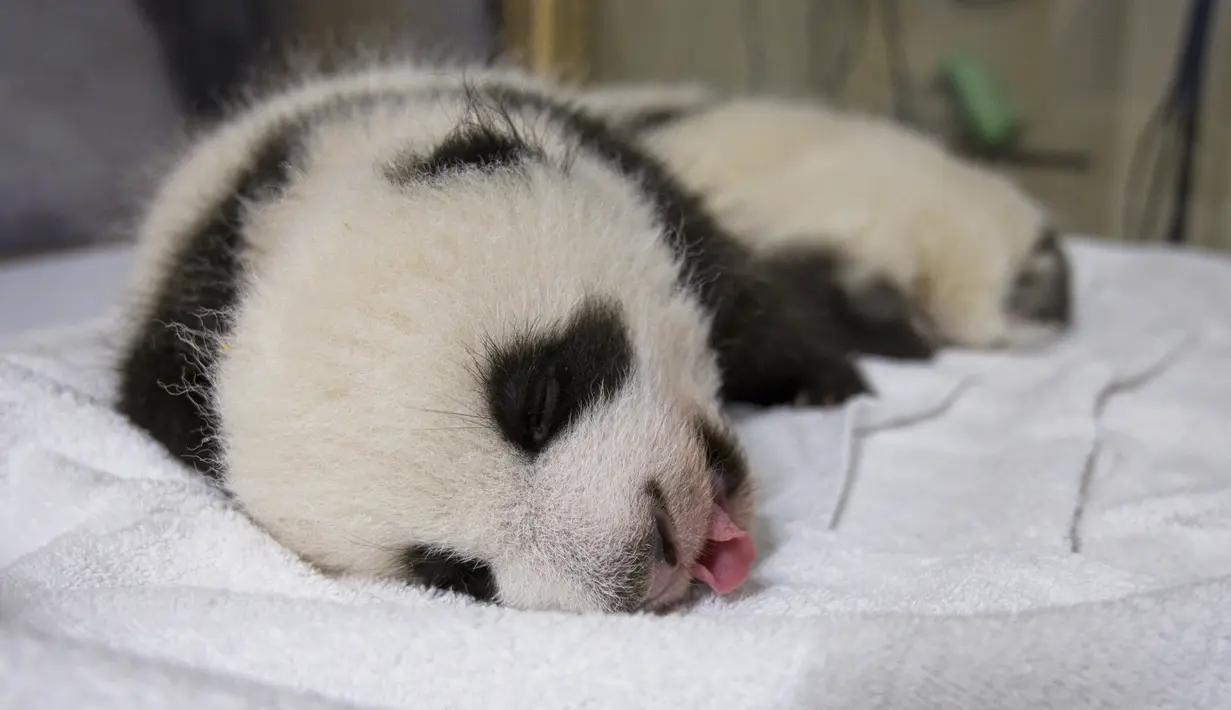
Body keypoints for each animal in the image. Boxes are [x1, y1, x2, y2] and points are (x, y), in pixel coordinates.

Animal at [114, 60, 871, 614]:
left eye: (536, 402)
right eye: (455, 573)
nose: (653, 560)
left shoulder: (615, 161)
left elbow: (736, 289)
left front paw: (826, 384)